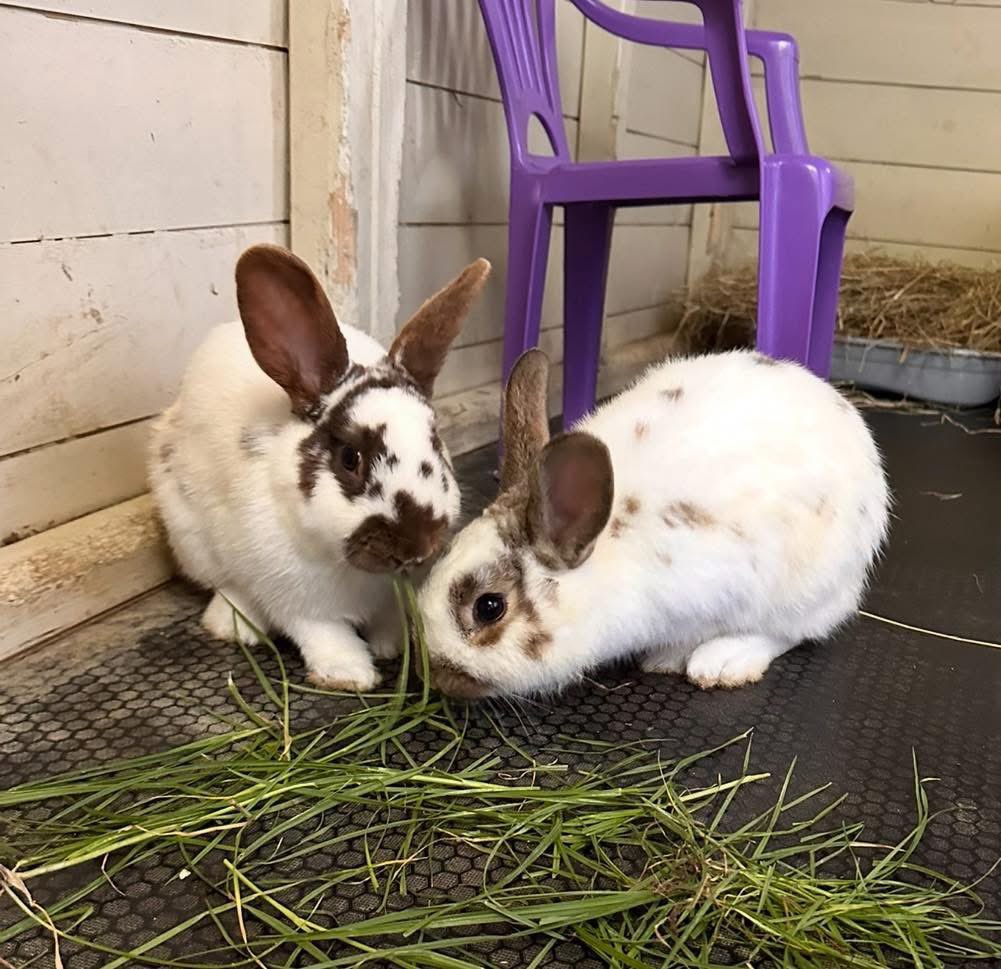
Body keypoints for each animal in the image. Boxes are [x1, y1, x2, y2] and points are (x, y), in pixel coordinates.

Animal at [149, 244, 490, 690]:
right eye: (350, 458)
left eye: (436, 441)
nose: (416, 546)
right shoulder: (297, 601)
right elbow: (324, 634)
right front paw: (349, 674)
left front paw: (395, 646)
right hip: (191, 536)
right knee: (229, 585)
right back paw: (233, 626)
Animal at [418, 348, 889, 699]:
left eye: (488, 607)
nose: (437, 677)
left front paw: (668, 659)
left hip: (804, 588)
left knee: (793, 631)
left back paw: (720, 663)